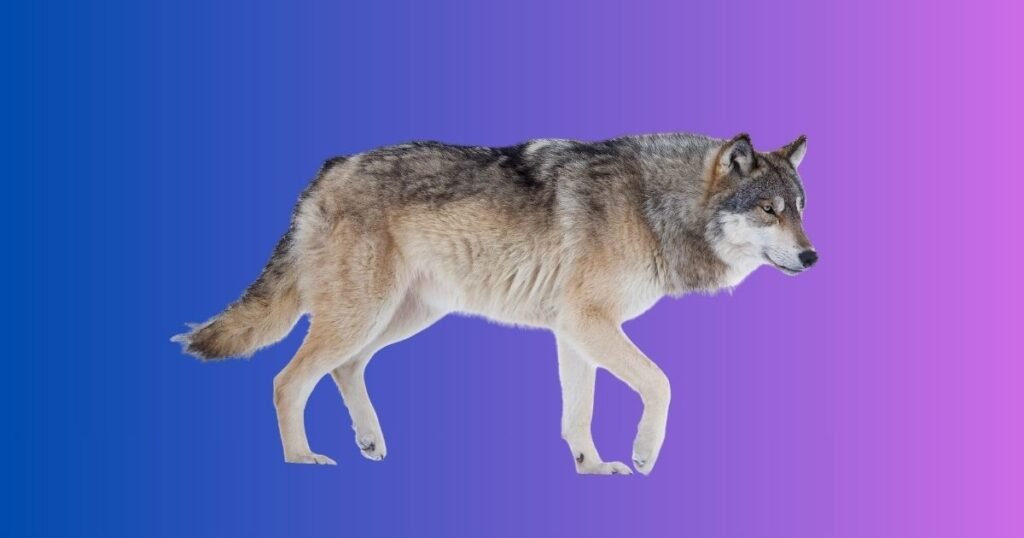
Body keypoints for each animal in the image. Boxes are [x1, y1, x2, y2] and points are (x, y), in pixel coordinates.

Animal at [173, 132, 816, 475]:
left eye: (801, 207)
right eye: (769, 210)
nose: (813, 257)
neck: (653, 205)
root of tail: (325, 171)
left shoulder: (574, 331)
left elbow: (577, 413)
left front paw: (591, 465)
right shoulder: (587, 323)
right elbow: (661, 383)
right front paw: (642, 456)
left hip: (400, 317)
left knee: (345, 368)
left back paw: (370, 442)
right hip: (363, 315)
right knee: (287, 380)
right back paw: (302, 459)